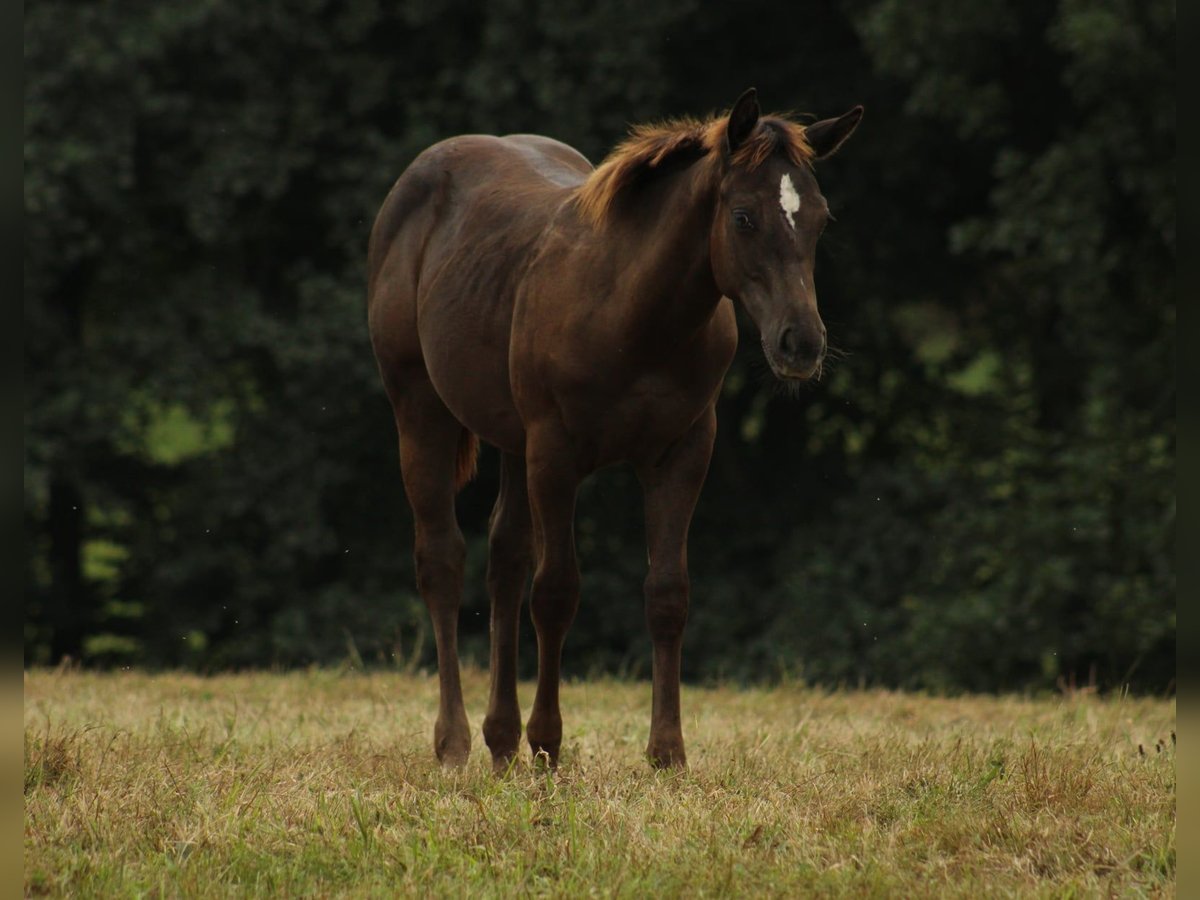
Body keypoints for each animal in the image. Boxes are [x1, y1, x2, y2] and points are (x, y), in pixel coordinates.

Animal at [367, 88, 864, 772]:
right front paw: (548, 743)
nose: (801, 343)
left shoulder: (683, 451)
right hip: (420, 409)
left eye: (820, 218)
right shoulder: (555, 454)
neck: (635, 315)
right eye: (743, 217)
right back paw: (456, 742)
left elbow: (668, 594)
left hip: (511, 439)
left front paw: (667, 752)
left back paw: (501, 740)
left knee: (504, 559)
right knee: (442, 559)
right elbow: (556, 591)